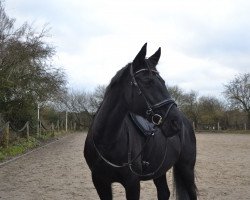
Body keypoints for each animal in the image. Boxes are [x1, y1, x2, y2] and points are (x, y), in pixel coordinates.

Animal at [84, 44, 197, 200]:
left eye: (163, 82)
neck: (107, 141)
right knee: (164, 192)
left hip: (186, 168)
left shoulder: (132, 183)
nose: (176, 123)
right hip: (160, 170)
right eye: (148, 82)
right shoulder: (100, 182)